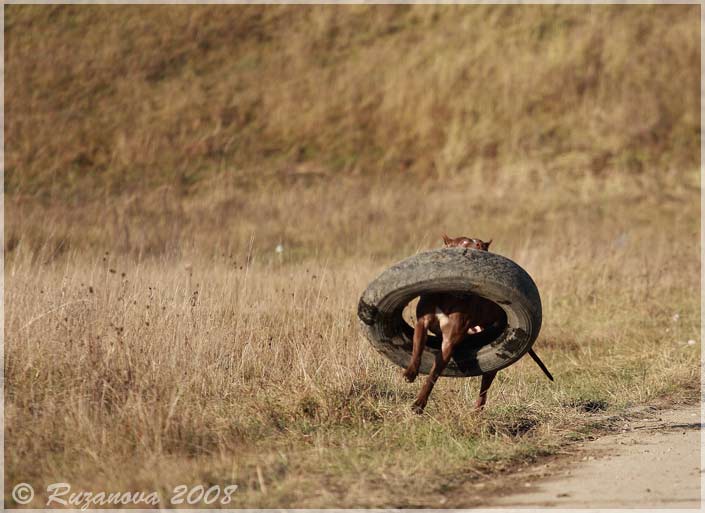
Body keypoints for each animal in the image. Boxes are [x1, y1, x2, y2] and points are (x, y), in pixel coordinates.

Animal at [402, 234, 552, 414]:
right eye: (464, 244)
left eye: (483, 246)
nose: (480, 252)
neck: (450, 295)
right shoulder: (422, 323)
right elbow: (417, 348)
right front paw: (410, 373)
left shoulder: (449, 341)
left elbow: (433, 375)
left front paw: (419, 404)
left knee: (485, 385)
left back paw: (477, 410)